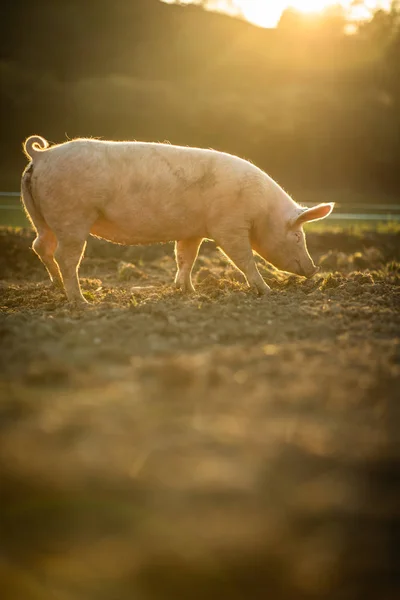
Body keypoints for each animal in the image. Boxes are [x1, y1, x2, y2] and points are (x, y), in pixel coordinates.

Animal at [21, 137, 334, 304]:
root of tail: (41, 154)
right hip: (72, 217)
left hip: (40, 217)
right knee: (66, 256)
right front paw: (266, 291)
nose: (314, 268)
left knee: (40, 246)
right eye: (298, 236)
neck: (262, 210)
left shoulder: (192, 231)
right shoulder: (228, 226)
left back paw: (58, 287)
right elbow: (244, 259)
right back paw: (81, 302)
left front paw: (186, 291)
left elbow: (185, 257)